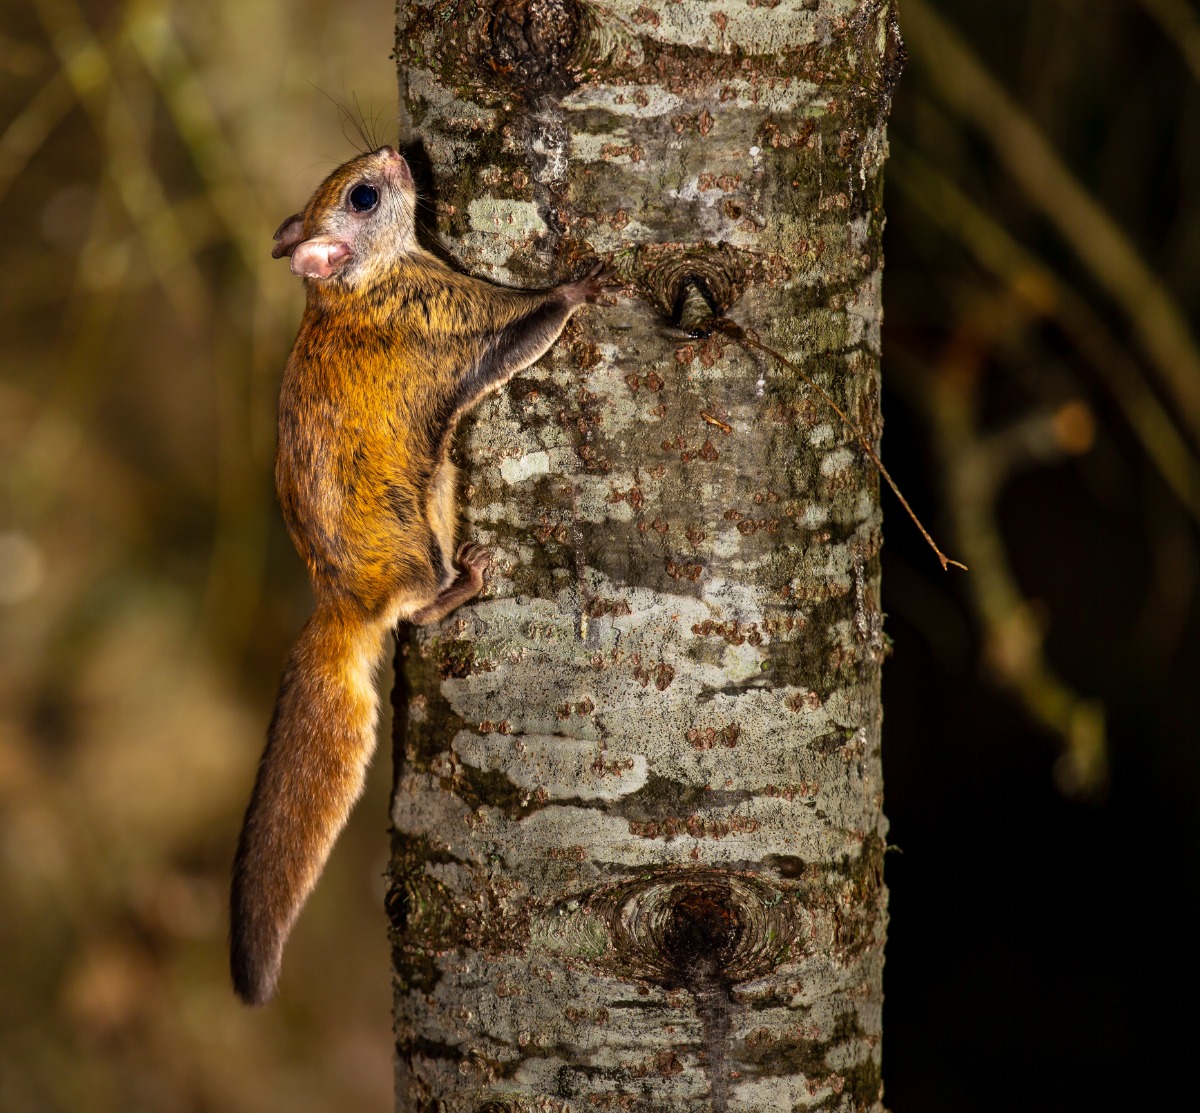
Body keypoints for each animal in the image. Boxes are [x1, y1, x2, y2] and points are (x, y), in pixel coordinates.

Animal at [230, 145, 601, 1005]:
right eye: (365, 196)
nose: (396, 152)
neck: (357, 289)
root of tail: (344, 604)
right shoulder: (447, 315)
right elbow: (528, 324)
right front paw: (578, 286)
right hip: (416, 543)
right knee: (418, 611)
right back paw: (466, 582)